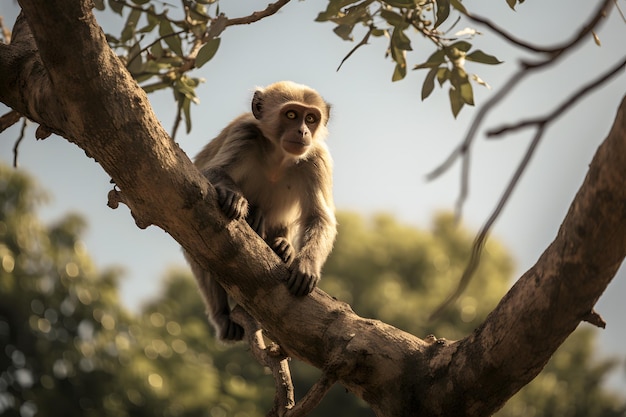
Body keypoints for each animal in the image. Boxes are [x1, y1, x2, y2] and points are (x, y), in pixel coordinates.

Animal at [185, 81, 336, 342]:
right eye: (291, 115)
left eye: (310, 118)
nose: (302, 132)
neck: (278, 156)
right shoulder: (244, 133)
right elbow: (209, 172)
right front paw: (234, 196)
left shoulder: (317, 158)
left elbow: (320, 217)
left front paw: (306, 265)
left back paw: (282, 247)